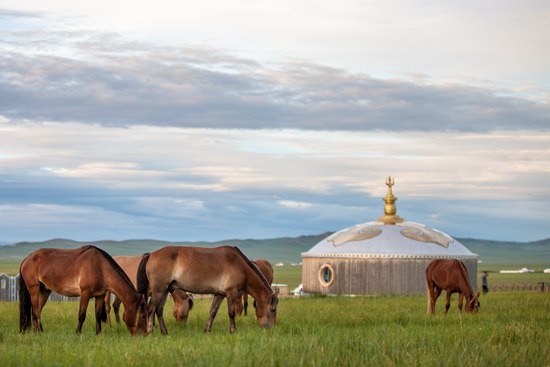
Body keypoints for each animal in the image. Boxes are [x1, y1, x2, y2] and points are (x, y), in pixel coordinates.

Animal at [19, 246, 149, 334]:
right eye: (143, 315)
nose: (144, 335)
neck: (100, 267)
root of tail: (27, 258)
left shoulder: (100, 295)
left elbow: (97, 314)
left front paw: (98, 333)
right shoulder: (85, 294)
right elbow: (82, 315)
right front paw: (78, 333)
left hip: (45, 290)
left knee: (37, 310)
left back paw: (36, 331)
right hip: (34, 289)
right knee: (36, 311)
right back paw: (40, 332)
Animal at [136, 246, 278, 334]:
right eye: (272, 309)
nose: (272, 328)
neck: (239, 265)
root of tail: (151, 254)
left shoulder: (219, 294)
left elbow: (213, 312)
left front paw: (207, 330)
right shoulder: (231, 293)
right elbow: (231, 313)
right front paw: (233, 331)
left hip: (165, 290)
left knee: (159, 310)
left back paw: (164, 332)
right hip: (158, 290)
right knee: (150, 308)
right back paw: (150, 331)